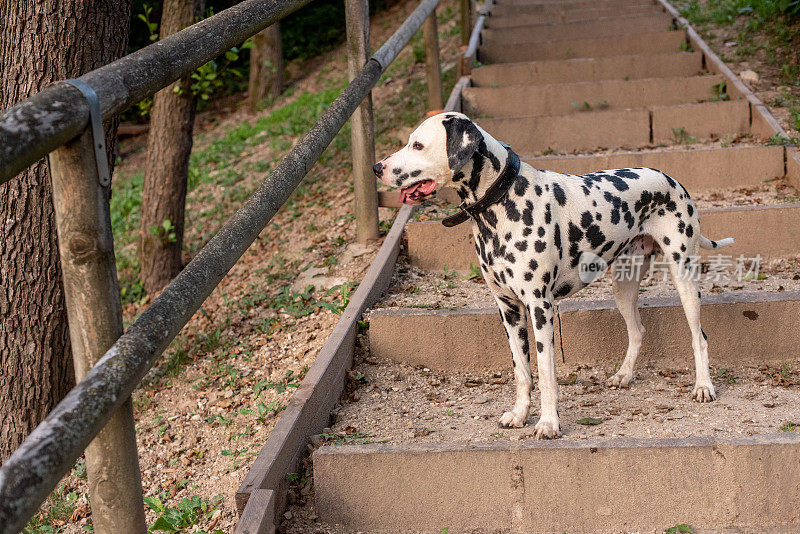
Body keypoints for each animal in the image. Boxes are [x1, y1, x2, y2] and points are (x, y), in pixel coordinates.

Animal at [372, 113, 736, 440]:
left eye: (418, 145)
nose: (377, 167)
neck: (503, 201)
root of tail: (671, 179)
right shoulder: (509, 310)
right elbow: (522, 372)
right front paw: (520, 415)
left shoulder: (540, 308)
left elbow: (546, 373)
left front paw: (548, 423)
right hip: (624, 285)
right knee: (638, 330)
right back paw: (624, 375)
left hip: (684, 273)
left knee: (699, 336)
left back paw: (703, 386)